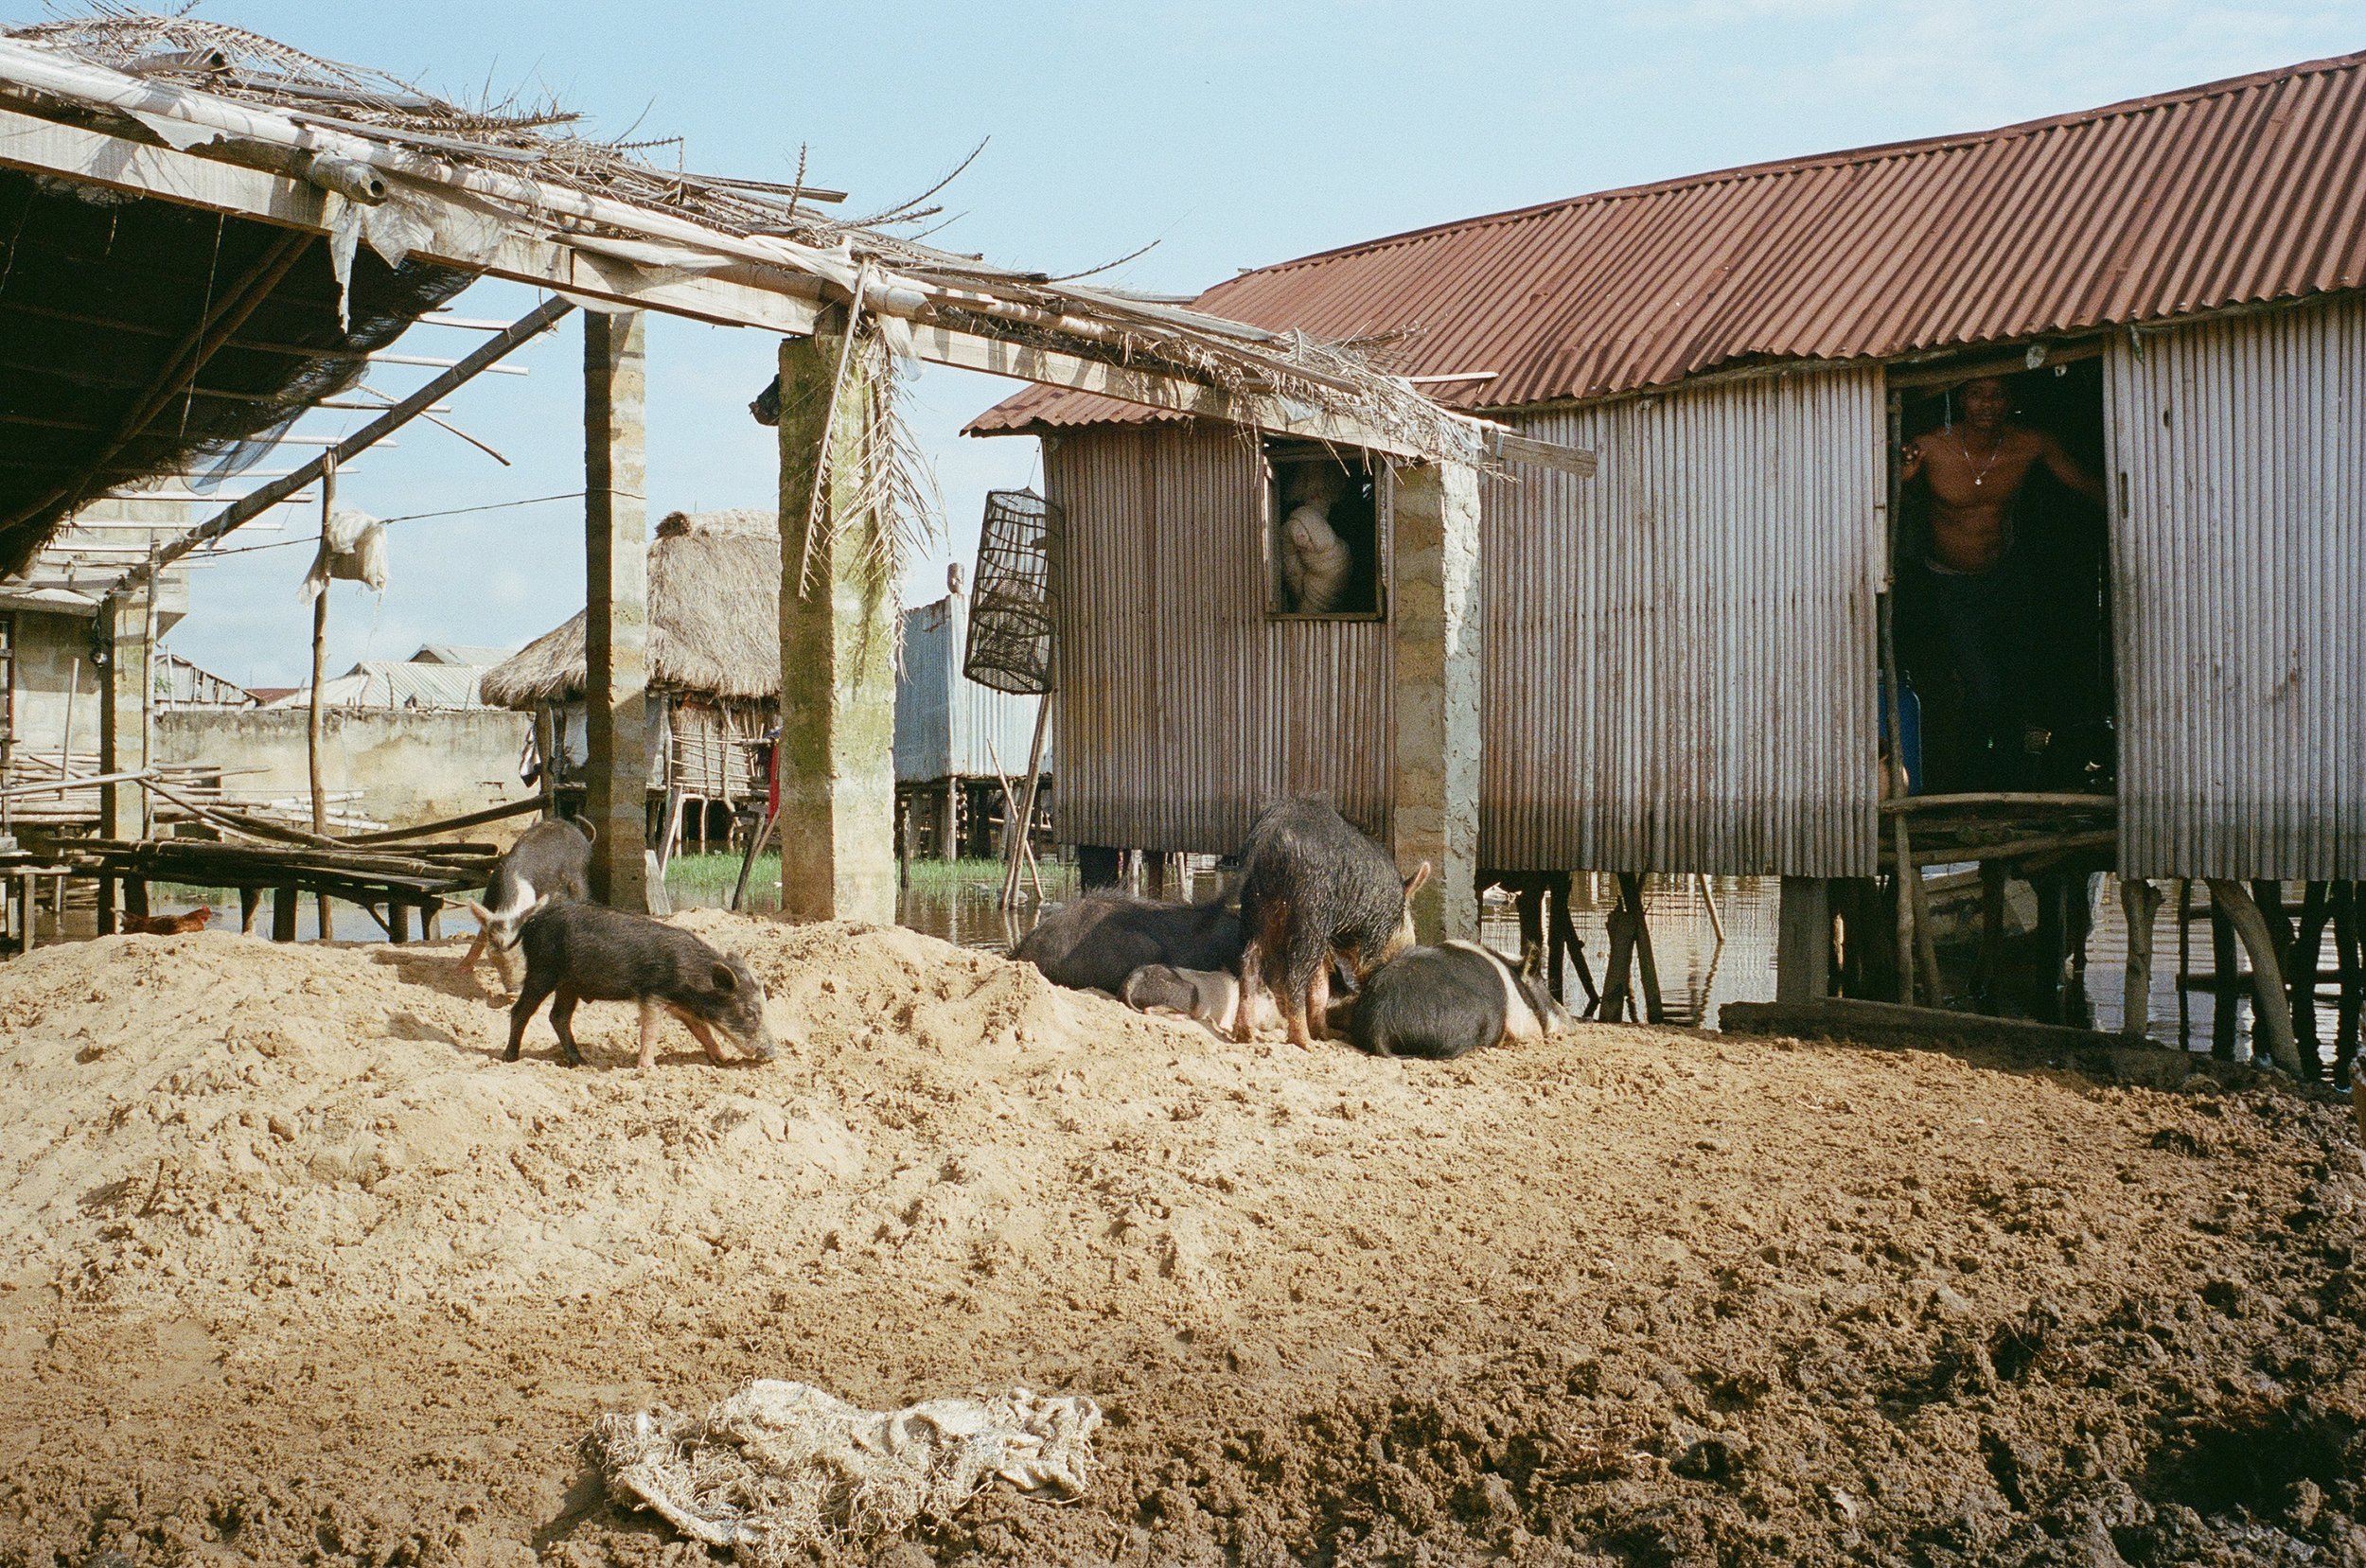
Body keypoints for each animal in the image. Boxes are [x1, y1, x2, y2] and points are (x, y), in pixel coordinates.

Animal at [503, 903, 771, 1073]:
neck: (692, 982)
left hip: (569, 984)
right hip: (543, 971)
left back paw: (582, 1062)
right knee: (520, 1010)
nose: (773, 1054)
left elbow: (702, 1031)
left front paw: (724, 1060)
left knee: (558, 1016)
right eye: (751, 1012)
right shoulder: (652, 993)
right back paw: (511, 1058)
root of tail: (530, 923)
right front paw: (648, 1068)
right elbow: (651, 1031)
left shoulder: (681, 1006)